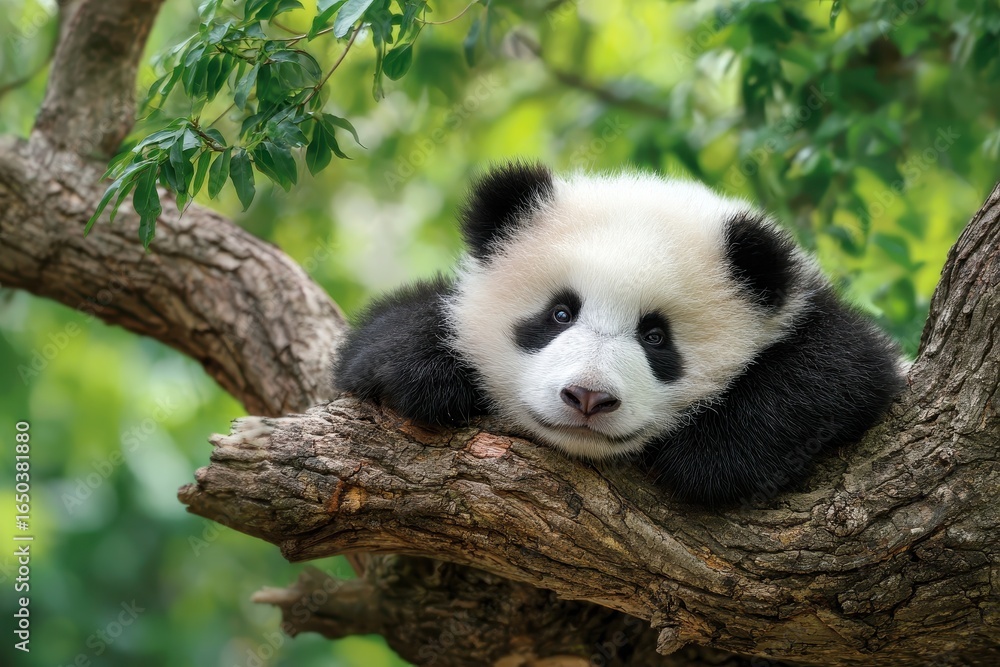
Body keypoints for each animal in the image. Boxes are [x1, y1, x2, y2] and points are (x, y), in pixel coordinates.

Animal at [334, 162, 905, 506]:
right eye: (560, 314)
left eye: (656, 337)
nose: (588, 397)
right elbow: (383, 336)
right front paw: (425, 374)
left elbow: (839, 370)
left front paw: (708, 457)